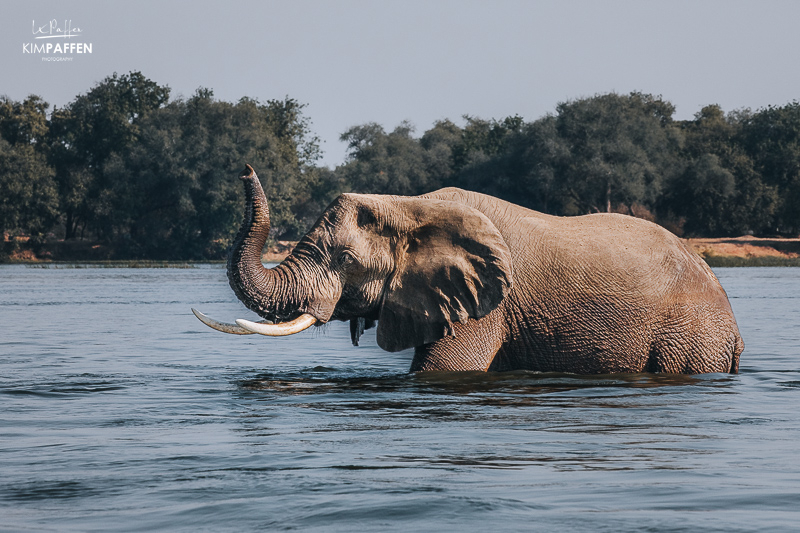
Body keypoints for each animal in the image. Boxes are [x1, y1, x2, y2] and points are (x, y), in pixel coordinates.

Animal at [194, 165, 744, 374]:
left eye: (345, 261)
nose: (244, 168)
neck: (410, 206)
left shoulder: (485, 306)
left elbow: (443, 370)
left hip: (689, 337)